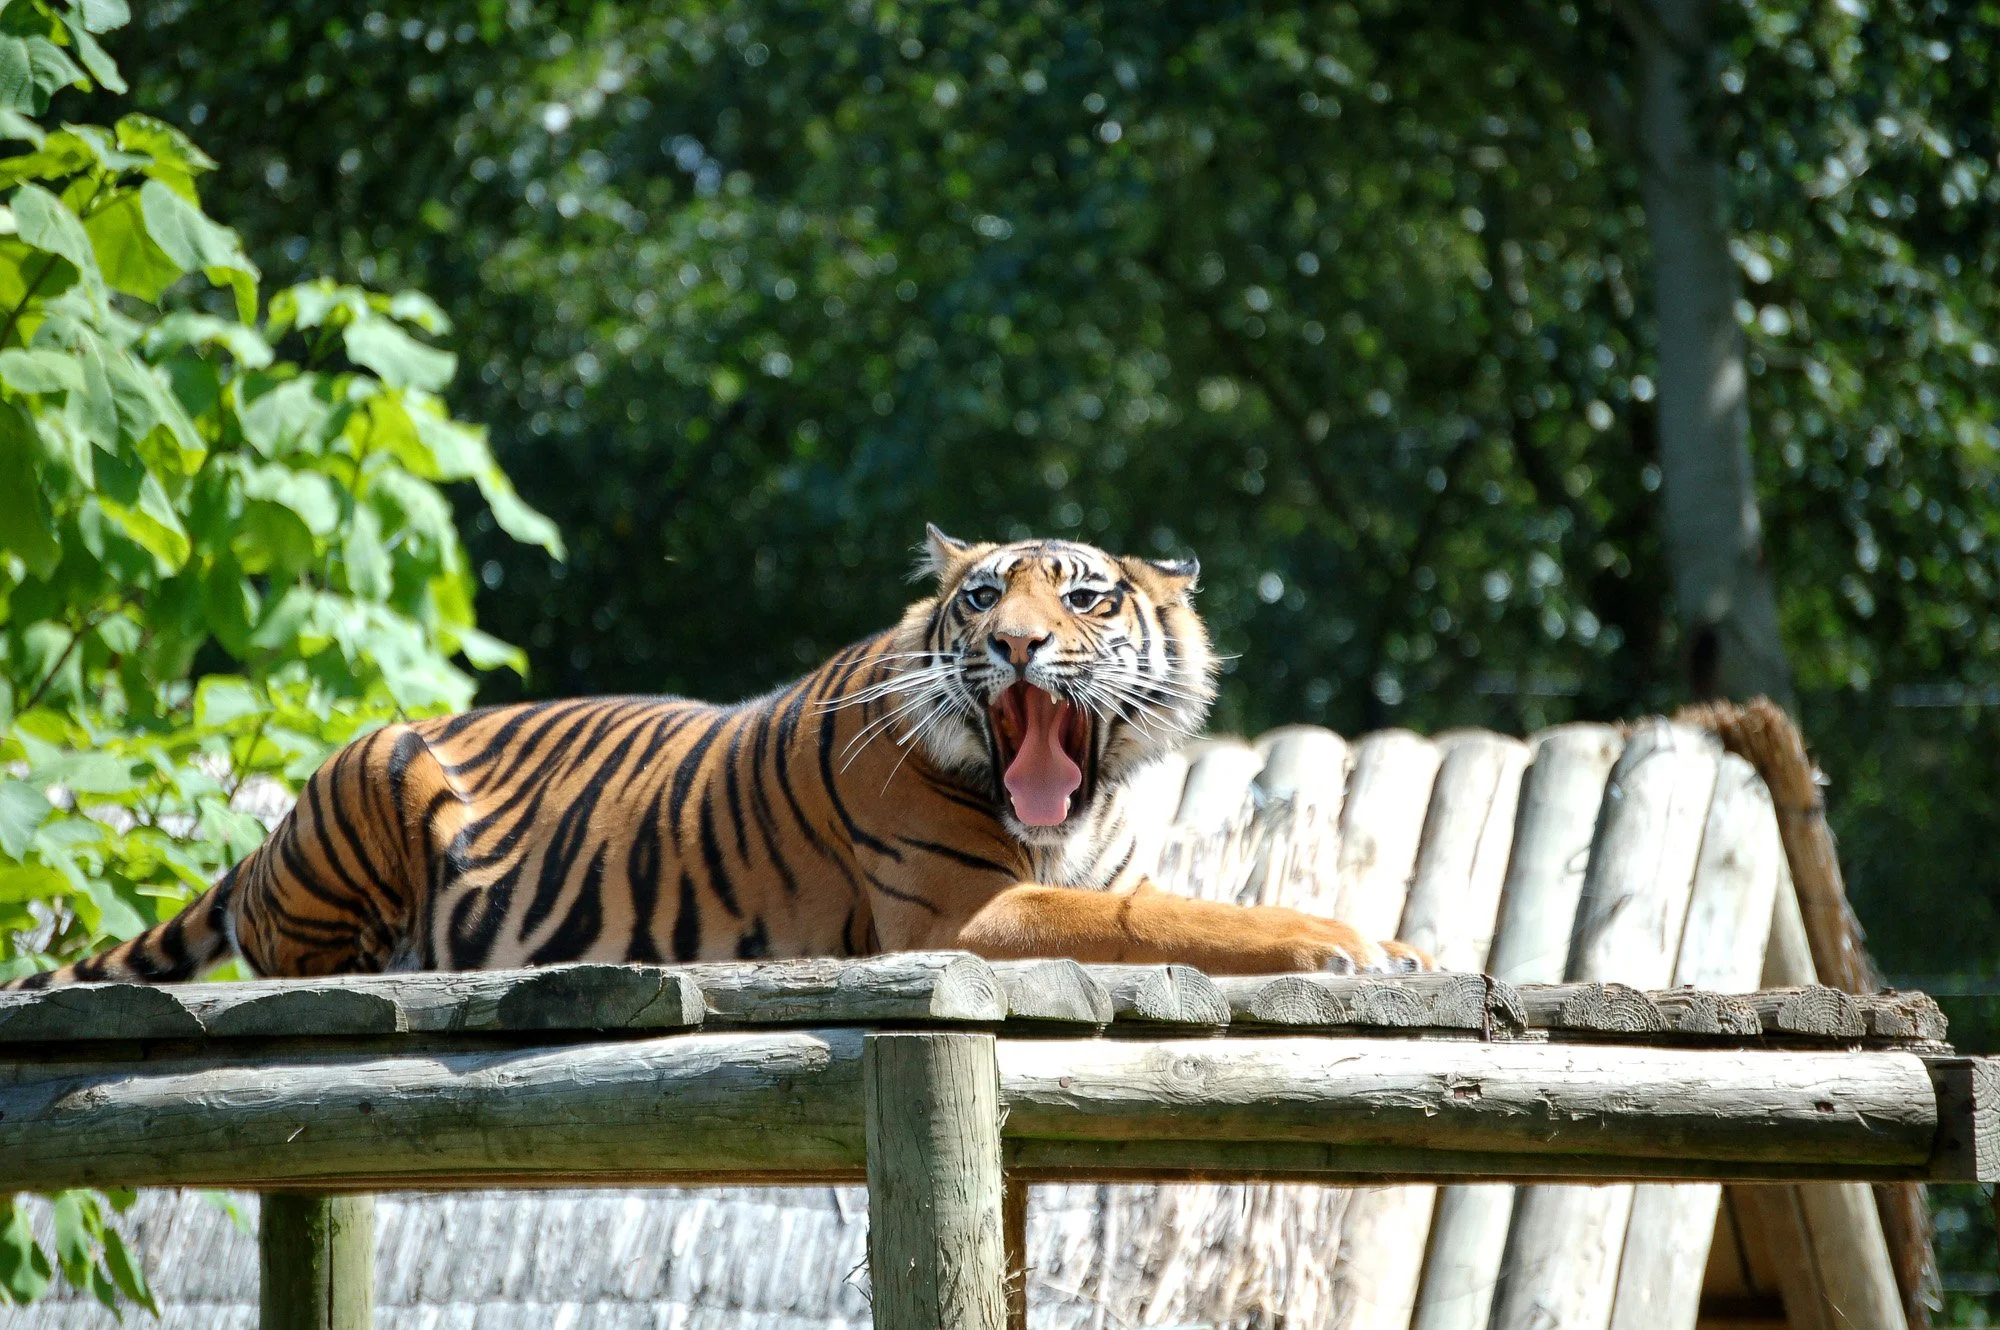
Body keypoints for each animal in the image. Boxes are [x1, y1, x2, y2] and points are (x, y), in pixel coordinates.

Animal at [8, 528, 1424, 990]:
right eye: (979, 598)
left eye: (1080, 599)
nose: (1016, 645)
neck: (1066, 814)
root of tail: (263, 836)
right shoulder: (960, 916)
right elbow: (1165, 915)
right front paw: (1344, 941)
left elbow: (1167, 897)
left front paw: (1398, 946)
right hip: (374, 769)